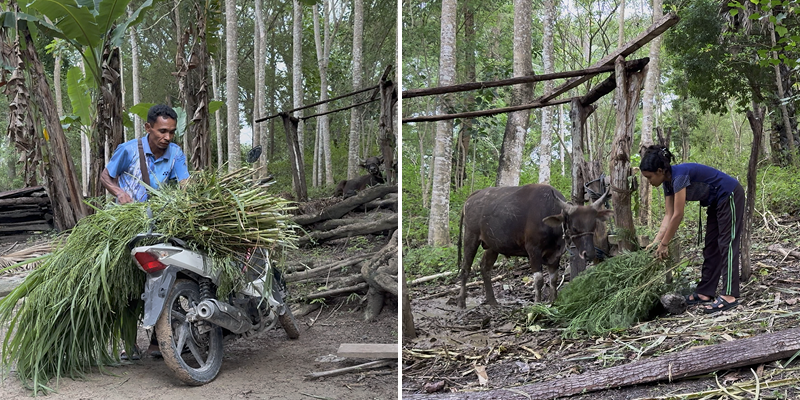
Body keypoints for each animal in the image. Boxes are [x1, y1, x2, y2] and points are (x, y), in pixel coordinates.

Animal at [456, 184, 612, 308]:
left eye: (593, 226)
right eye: (574, 228)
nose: (589, 253)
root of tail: (471, 198)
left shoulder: (555, 254)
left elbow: (553, 279)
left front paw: (553, 301)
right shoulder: (533, 251)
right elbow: (539, 280)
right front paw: (537, 304)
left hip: (492, 246)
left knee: (485, 267)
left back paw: (492, 301)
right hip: (470, 237)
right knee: (465, 268)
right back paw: (461, 302)